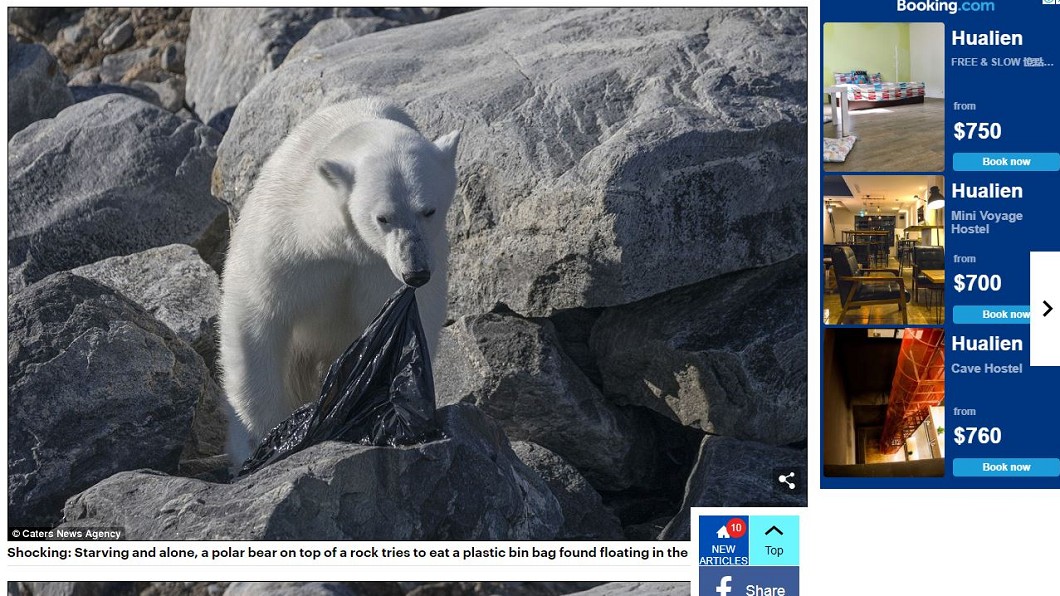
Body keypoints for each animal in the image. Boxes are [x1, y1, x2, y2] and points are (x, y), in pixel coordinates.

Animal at [218, 98, 459, 472]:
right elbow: (256, 322)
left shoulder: (381, 269)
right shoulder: (285, 245)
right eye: (383, 217)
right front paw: (260, 440)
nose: (415, 272)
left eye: (428, 210)